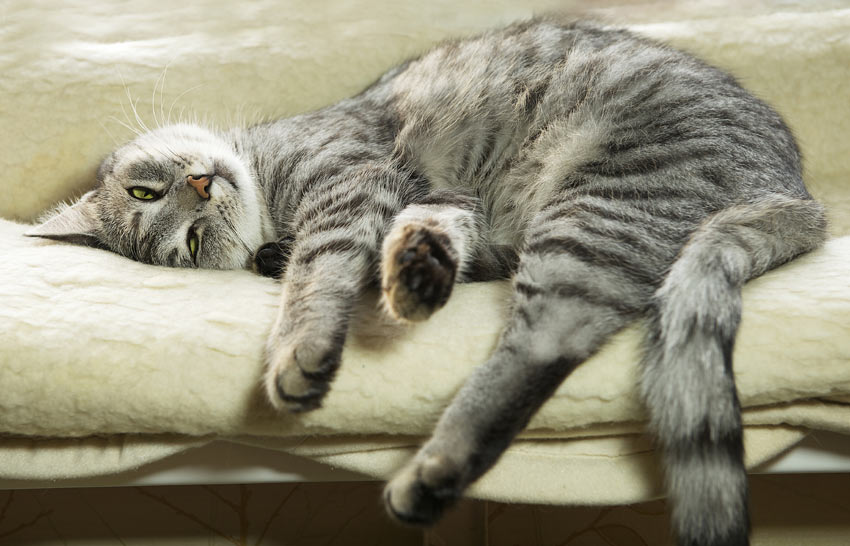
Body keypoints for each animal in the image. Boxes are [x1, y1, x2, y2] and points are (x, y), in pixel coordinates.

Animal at [26, 17, 820, 544]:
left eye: (146, 190)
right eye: (186, 238)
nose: (201, 183)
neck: (269, 186)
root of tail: (794, 195)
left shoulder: (353, 181)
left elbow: (318, 275)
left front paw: (299, 344)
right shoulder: (418, 200)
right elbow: (394, 244)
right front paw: (409, 268)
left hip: (596, 205)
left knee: (539, 344)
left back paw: (430, 466)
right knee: (548, 344)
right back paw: (434, 459)